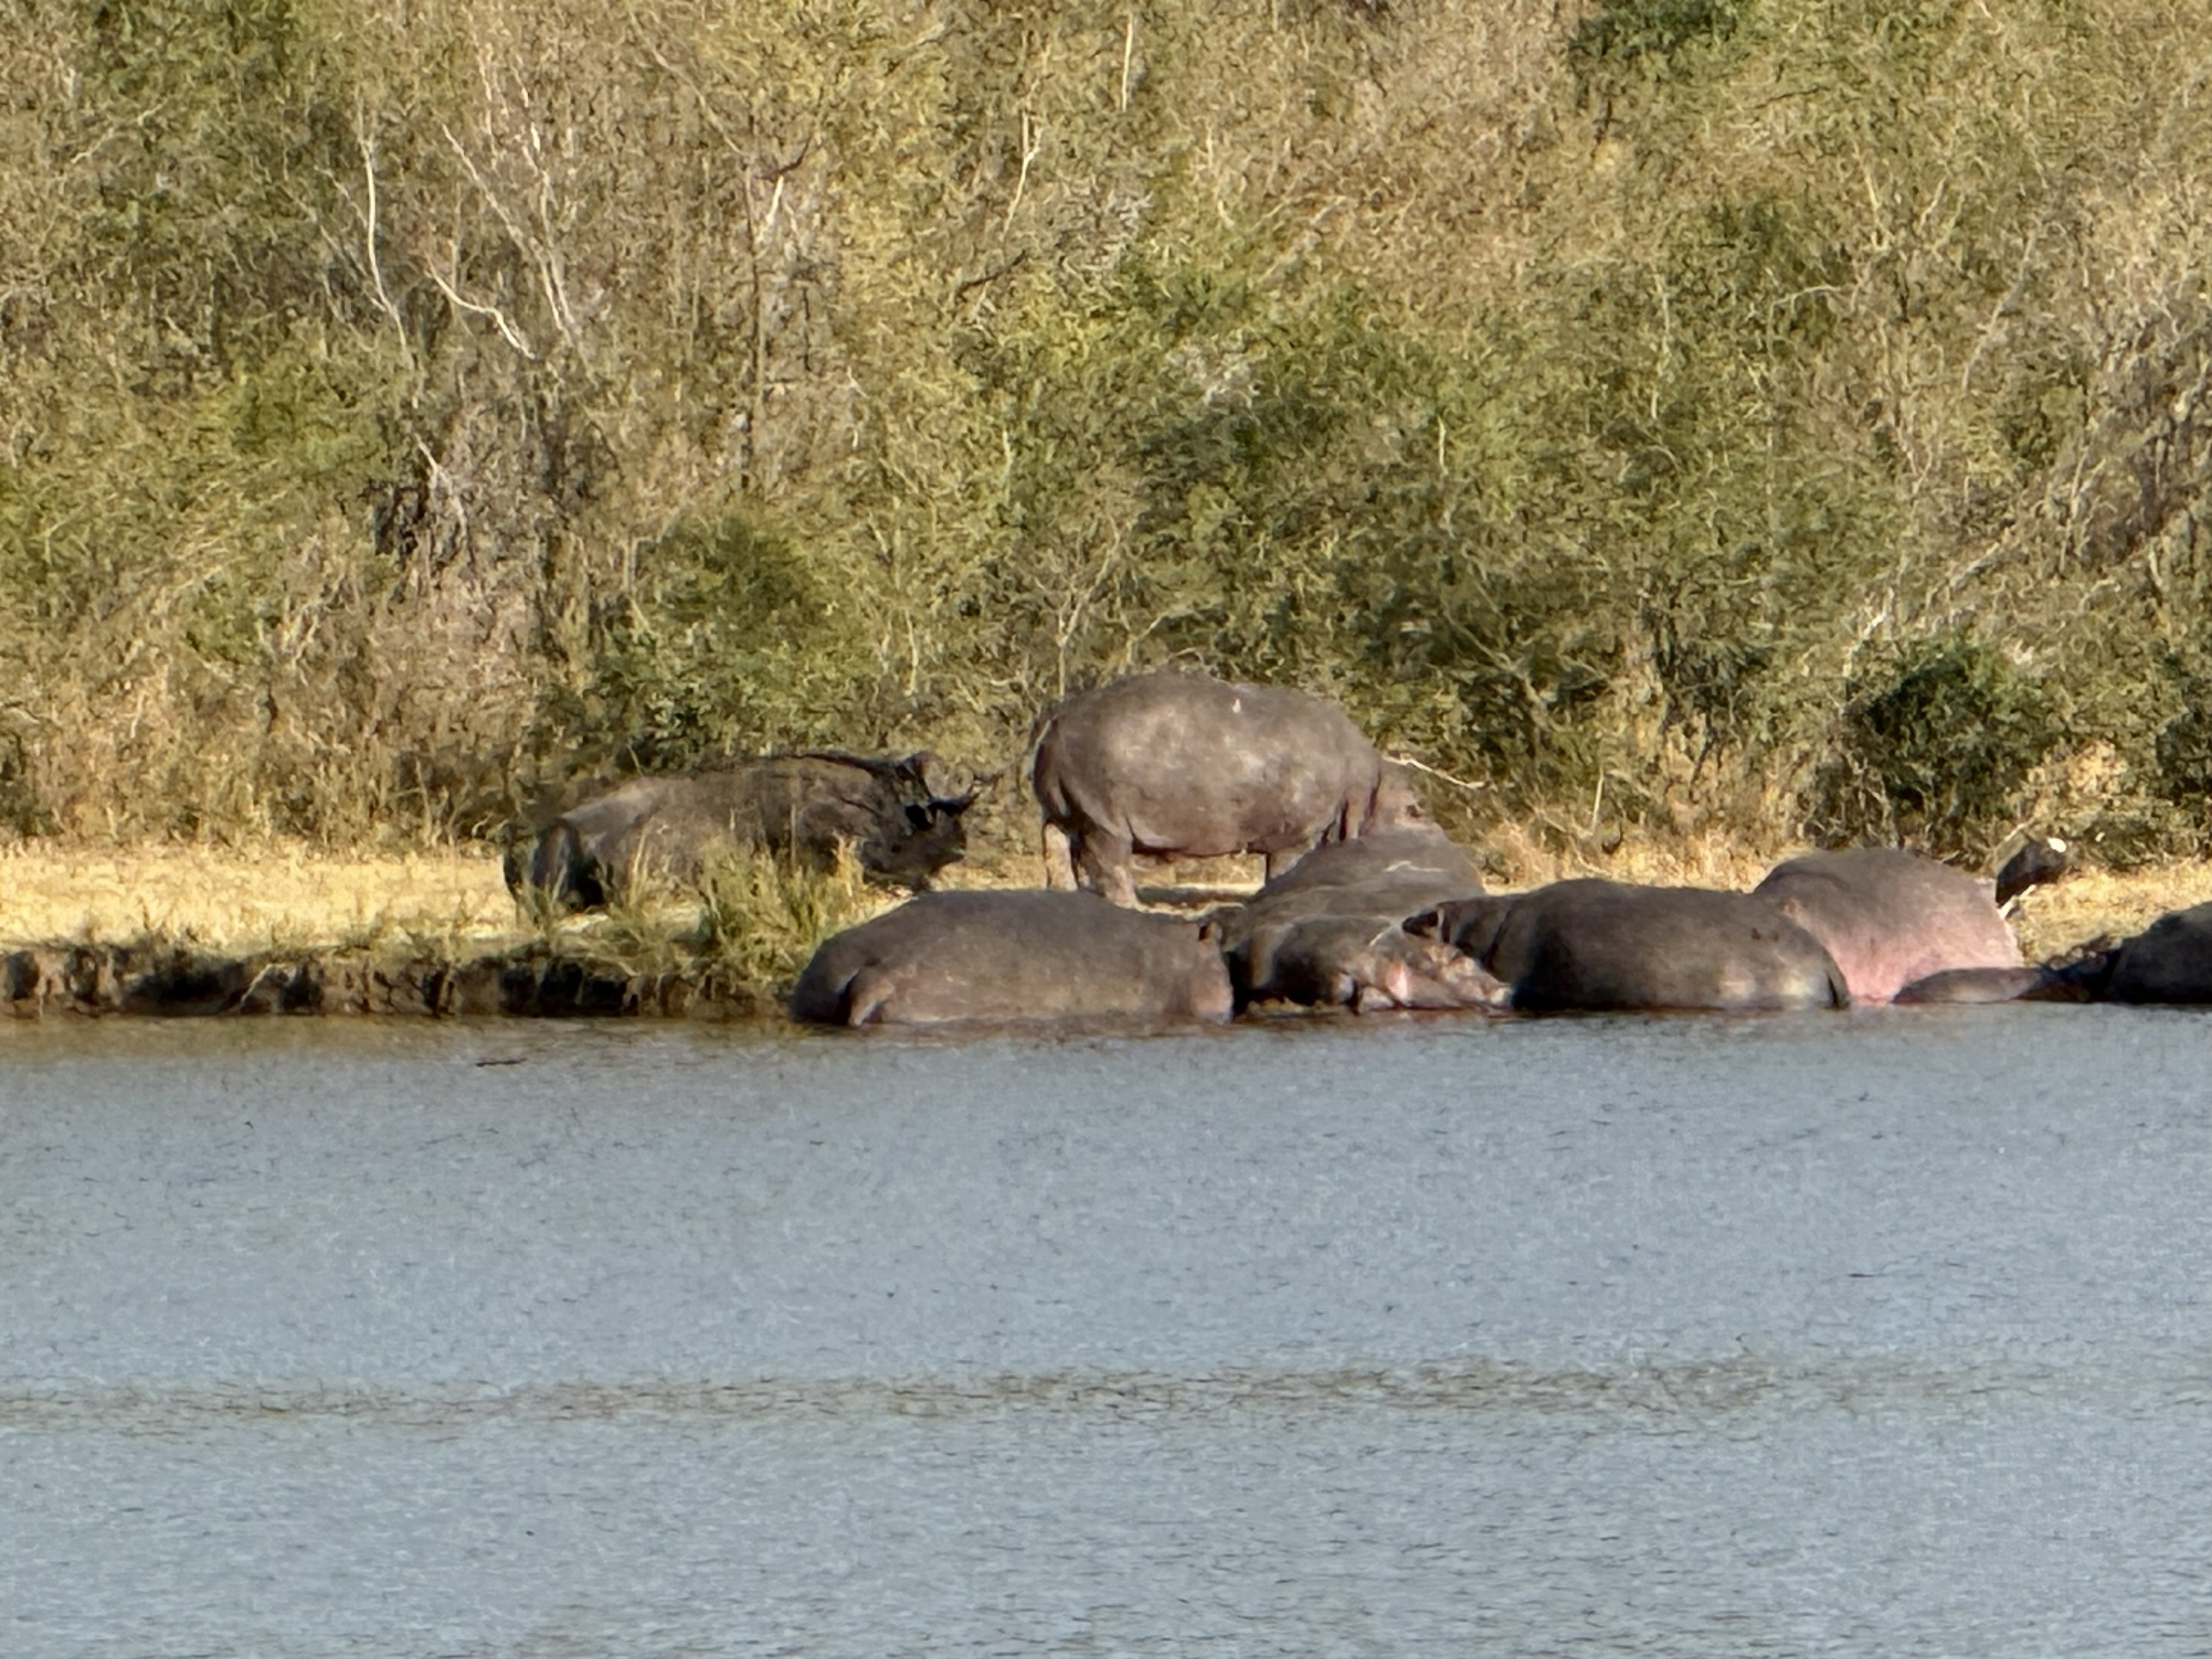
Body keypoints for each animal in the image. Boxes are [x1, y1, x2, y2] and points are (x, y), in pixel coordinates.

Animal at [1031, 669, 1420, 906]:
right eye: (1414, 808)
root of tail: (1059, 719)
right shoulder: (1297, 835)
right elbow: (1284, 869)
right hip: (1103, 815)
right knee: (1107, 861)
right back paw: (1135, 907)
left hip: (1065, 808)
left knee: (1056, 845)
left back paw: (1065, 896)